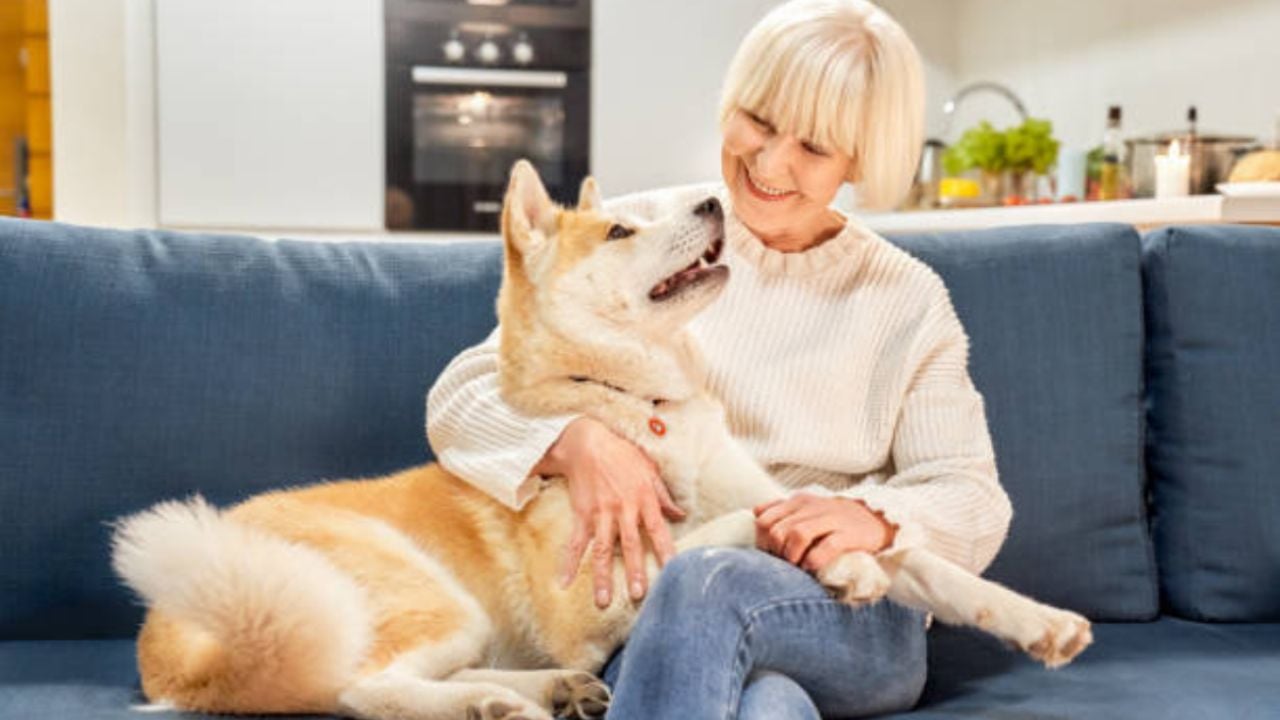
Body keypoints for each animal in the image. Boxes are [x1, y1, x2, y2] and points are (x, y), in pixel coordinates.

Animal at [112, 161, 1090, 717]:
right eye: (621, 228)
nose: (714, 201)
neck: (641, 401)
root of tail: (171, 642)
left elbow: (929, 561)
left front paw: (1038, 622)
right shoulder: (590, 598)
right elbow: (731, 534)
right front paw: (839, 560)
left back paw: (538, 694)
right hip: (424, 597)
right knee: (355, 688)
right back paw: (495, 705)